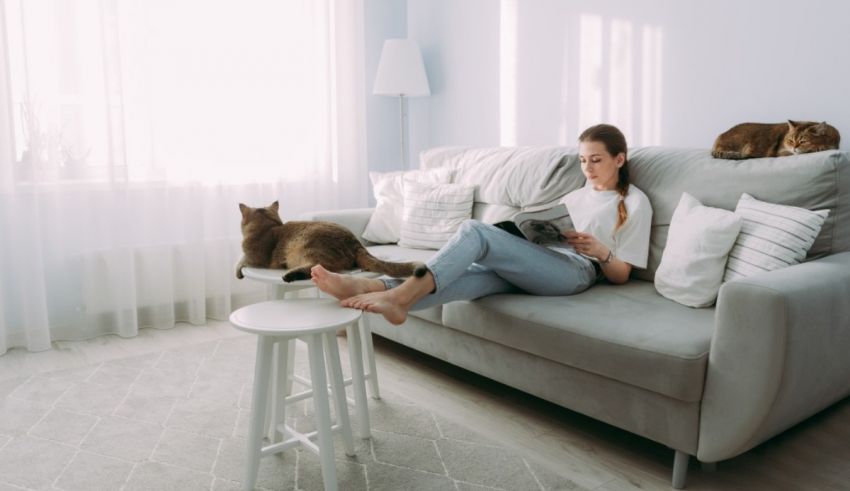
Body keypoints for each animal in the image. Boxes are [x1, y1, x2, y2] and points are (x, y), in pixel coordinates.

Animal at [235, 201, 428, 284]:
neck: (268, 227)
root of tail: (356, 243)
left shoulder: (254, 258)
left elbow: (241, 260)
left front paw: (237, 270)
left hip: (305, 248)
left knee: (324, 268)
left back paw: (291, 275)